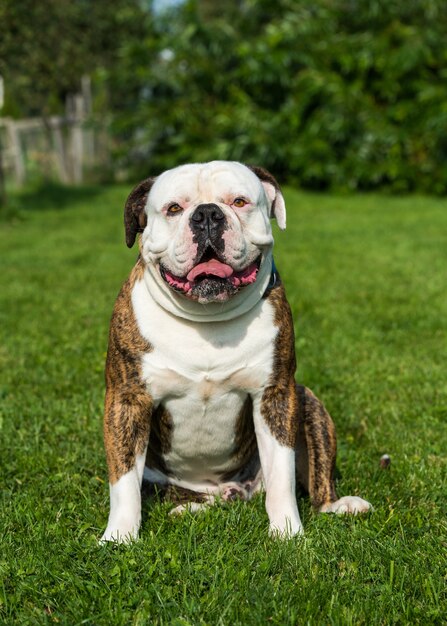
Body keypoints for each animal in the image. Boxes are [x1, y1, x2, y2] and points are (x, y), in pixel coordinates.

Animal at [101, 161, 372, 540]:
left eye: (239, 201)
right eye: (174, 209)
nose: (207, 214)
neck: (207, 318)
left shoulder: (276, 396)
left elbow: (281, 476)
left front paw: (287, 533)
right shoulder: (128, 400)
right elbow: (124, 481)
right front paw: (118, 538)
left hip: (308, 402)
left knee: (318, 479)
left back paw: (337, 505)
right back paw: (190, 509)